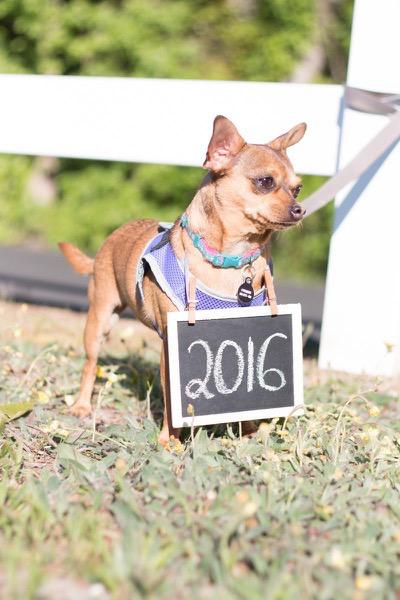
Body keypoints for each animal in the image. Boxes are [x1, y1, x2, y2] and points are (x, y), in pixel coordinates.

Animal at [60, 117, 306, 446]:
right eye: (265, 181)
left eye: (297, 188)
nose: (300, 208)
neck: (232, 259)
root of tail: (110, 240)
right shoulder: (169, 347)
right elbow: (170, 400)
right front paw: (168, 441)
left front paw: (250, 431)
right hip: (100, 319)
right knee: (90, 364)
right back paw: (82, 405)